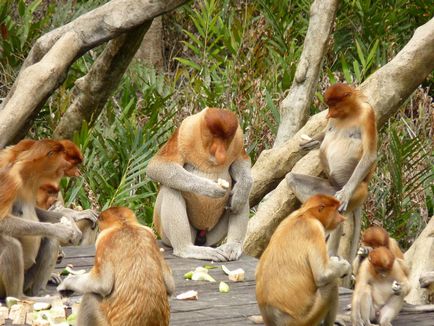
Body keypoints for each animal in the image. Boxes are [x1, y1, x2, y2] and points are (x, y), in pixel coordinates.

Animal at [147, 107, 253, 262]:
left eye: (226, 138)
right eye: (215, 136)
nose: (221, 153)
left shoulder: (238, 138)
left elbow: (242, 162)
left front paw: (240, 192)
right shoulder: (185, 132)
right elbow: (157, 166)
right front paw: (210, 188)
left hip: (213, 237)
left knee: (242, 194)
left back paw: (232, 246)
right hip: (165, 232)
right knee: (171, 188)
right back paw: (186, 249)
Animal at [256, 195, 350, 324]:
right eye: (336, 211)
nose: (342, 218)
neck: (306, 214)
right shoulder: (315, 228)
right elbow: (322, 276)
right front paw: (345, 266)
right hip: (304, 320)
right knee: (330, 285)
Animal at [284, 83, 376, 262]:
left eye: (334, 104)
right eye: (329, 105)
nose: (329, 113)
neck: (351, 112)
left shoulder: (368, 114)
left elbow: (370, 155)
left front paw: (345, 195)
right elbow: (324, 136)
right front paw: (310, 142)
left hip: (359, 191)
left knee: (340, 209)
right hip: (326, 189)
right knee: (292, 178)